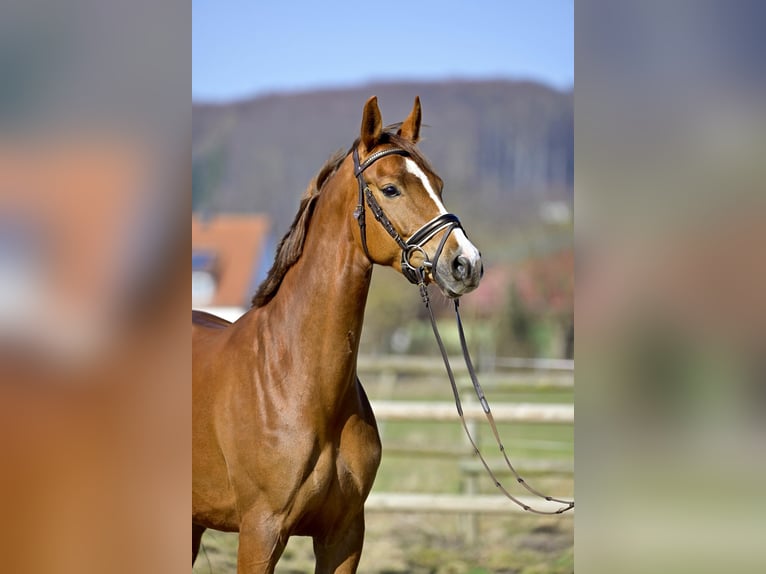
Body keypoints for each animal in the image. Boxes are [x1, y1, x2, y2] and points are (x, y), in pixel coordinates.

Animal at [192, 96, 483, 573]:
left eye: (438, 183)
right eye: (391, 189)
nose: (467, 264)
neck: (297, 382)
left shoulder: (344, 535)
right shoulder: (259, 533)